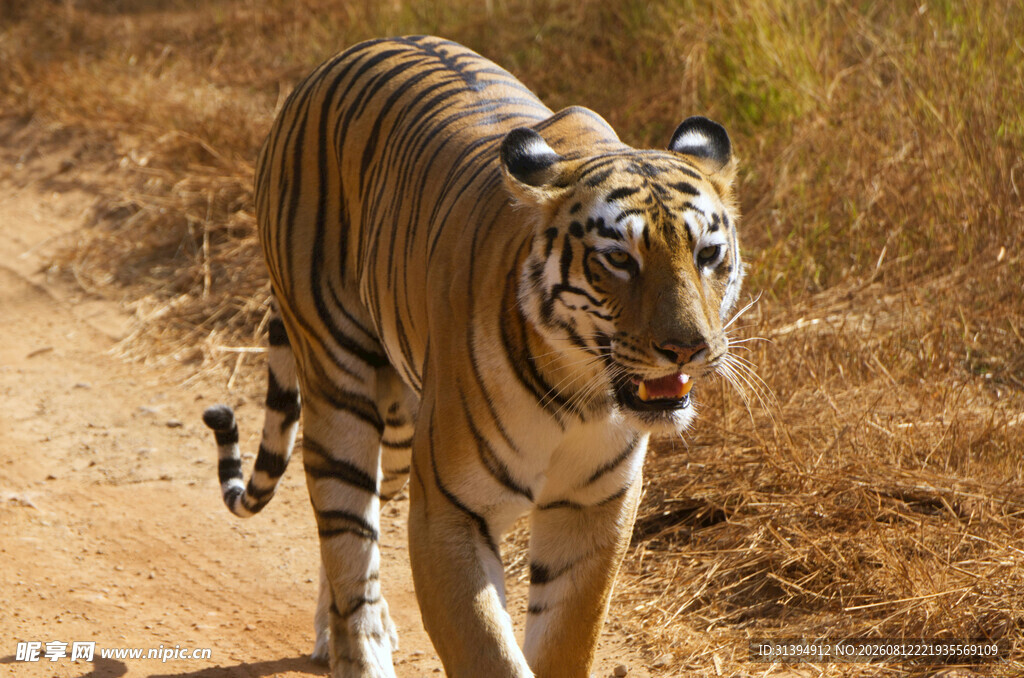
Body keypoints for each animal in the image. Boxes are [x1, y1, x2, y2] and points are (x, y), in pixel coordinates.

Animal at [201, 35, 742, 678]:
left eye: (707, 254)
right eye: (618, 259)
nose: (688, 347)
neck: (581, 394)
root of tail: (333, 62)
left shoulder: (593, 506)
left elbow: (565, 641)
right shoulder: (449, 512)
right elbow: (488, 650)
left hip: (402, 428)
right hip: (339, 387)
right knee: (347, 540)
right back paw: (359, 646)